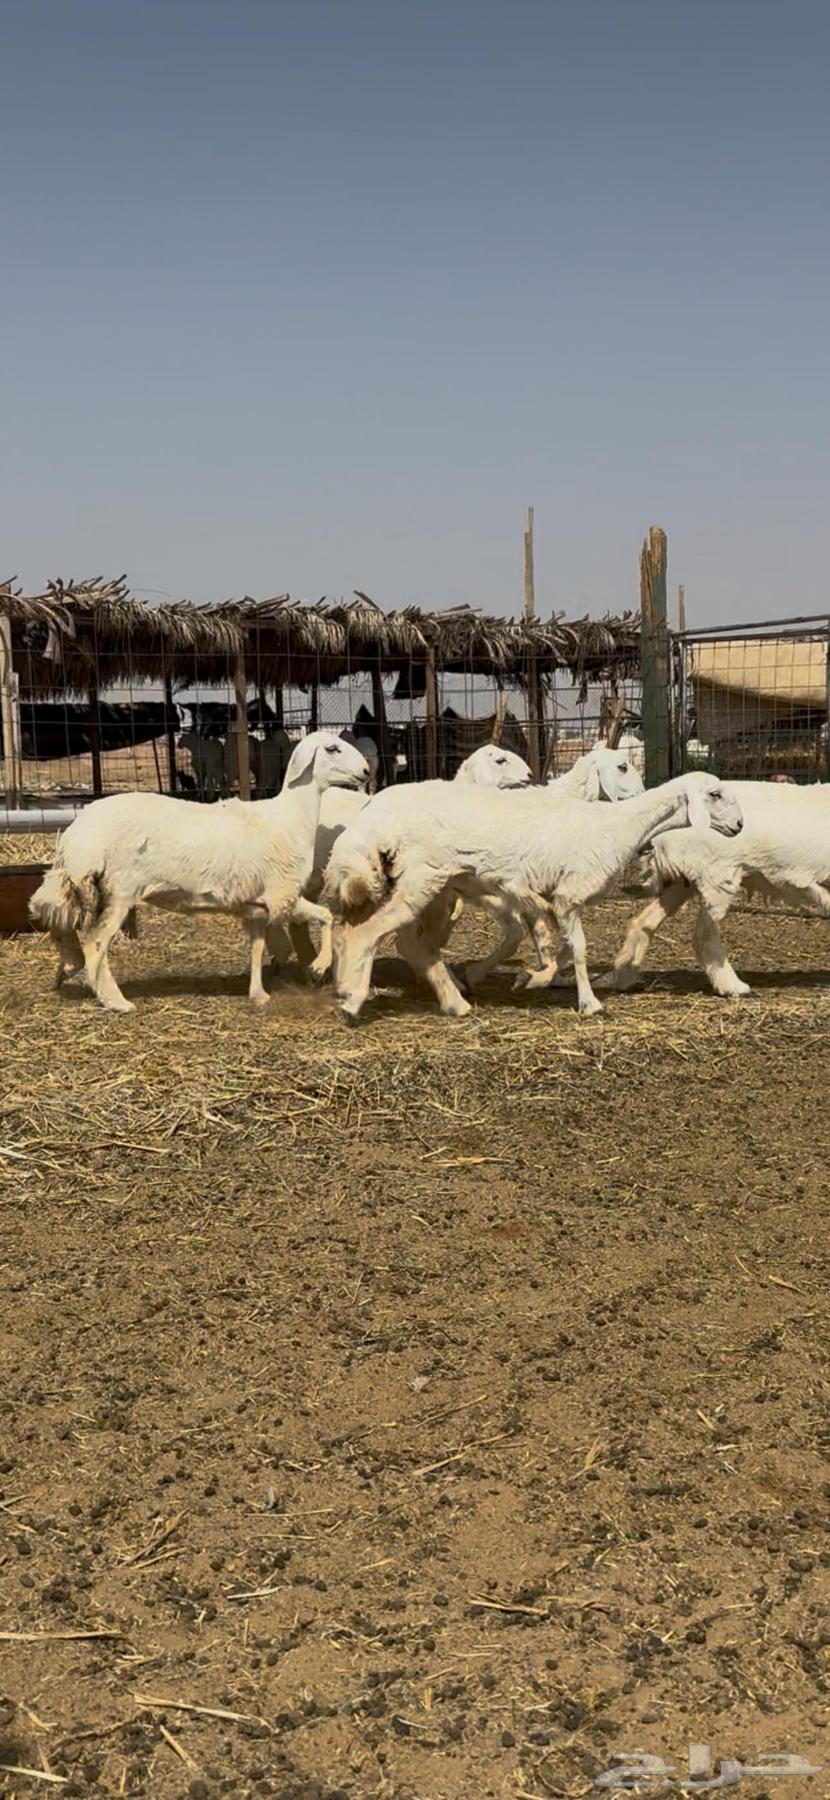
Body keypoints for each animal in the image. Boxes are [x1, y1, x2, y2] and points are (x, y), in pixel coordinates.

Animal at [29, 731, 369, 1013]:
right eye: (332, 748)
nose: (367, 771)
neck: (291, 818)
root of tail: (77, 836)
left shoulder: (255, 906)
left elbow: (257, 949)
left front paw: (258, 994)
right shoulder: (282, 895)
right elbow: (327, 917)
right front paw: (319, 965)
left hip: (86, 885)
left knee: (61, 922)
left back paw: (67, 967)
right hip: (120, 891)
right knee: (95, 944)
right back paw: (114, 1000)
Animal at [323, 773, 742, 1023]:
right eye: (715, 794)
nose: (739, 826)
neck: (615, 828)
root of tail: (374, 813)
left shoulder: (547, 898)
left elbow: (557, 947)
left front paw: (535, 978)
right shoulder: (569, 895)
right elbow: (579, 949)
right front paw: (589, 1004)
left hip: (430, 884)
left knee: (392, 939)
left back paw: (450, 1002)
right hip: (421, 877)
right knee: (370, 933)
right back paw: (352, 1002)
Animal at [600, 779, 830, 999]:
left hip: (684, 881)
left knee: (644, 923)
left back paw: (624, 976)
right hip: (718, 876)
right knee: (704, 936)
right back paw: (733, 987)